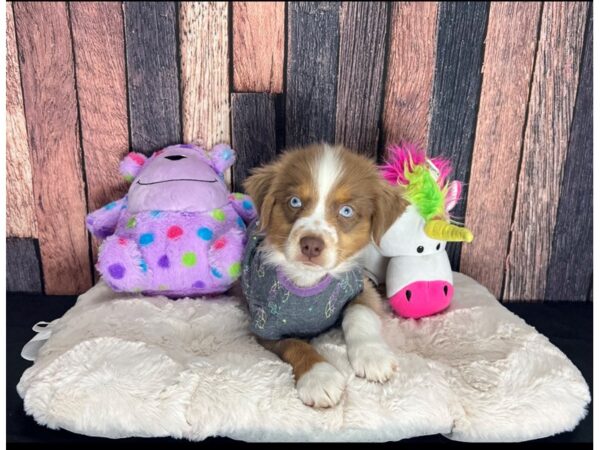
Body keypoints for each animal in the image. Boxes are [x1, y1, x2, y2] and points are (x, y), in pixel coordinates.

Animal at [241, 143, 406, 408]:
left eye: (346, 211)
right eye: (295, 201)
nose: (311, 245)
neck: (308, 282)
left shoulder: (360, 287)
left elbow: (359, 313)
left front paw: (372, 355)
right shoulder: (264, 326)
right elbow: (295, 344)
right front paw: (319, 378)